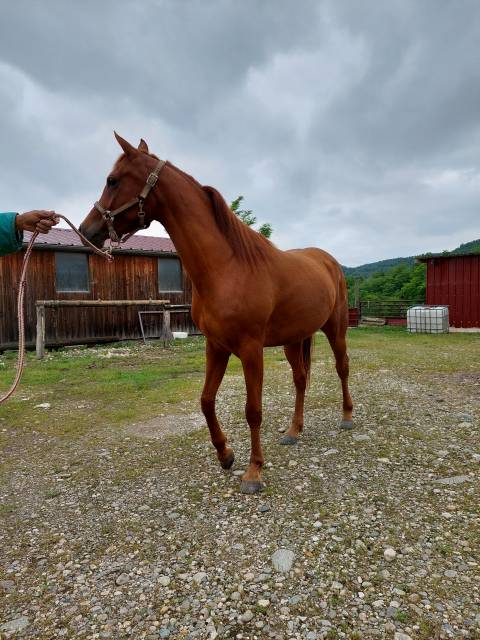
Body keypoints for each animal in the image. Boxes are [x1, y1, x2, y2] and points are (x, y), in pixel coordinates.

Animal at [79, 134, 352, 496]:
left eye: (112, 180)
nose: (87, 231)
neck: (227, 268)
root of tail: (327, 260)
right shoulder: (216, 346)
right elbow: (206, 401)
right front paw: (225, 454)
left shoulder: (250, 350)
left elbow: (253, 411)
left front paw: (254, 472)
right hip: (294, 340)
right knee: (301, 379)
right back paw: (294, 431)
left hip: (336, 329)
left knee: (341, 368)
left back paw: (347, 417)